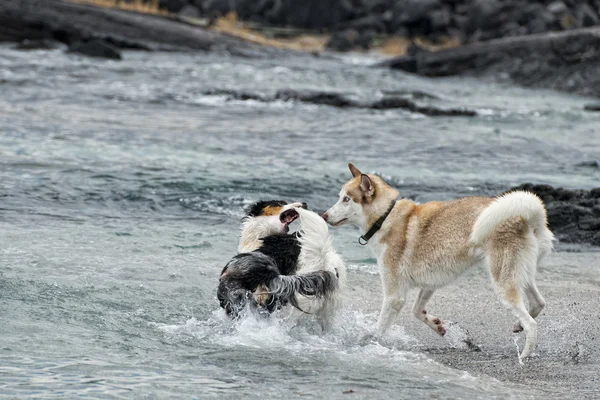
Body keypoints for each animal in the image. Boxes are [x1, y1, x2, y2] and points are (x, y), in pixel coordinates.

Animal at [324, 163, 552, 360]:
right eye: (340, 197)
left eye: (346, 199)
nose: (324, 215)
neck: (385, 217)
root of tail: (526, 216)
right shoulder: (430, 283)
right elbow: (417, 311)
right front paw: (438, 326)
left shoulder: (394, 296)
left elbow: (380, 328)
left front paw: (368, 342)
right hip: (520, 275)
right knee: (538, 303)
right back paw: (518, 326)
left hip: (502, 283)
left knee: (532, 324)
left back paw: (524, 355)